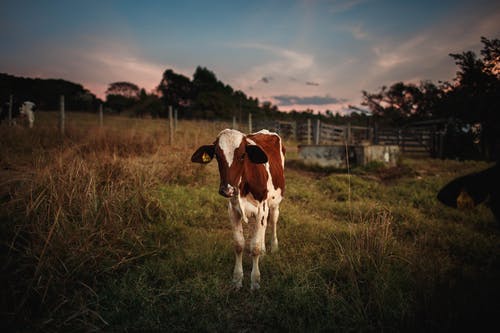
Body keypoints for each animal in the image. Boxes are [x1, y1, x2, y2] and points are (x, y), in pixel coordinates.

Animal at [191, 128, 286, 290]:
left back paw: (273, 247)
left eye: (242, 156)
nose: (227, 189)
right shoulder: (233, 210)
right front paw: (237, 279)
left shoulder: (261, 209)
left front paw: (255, 280)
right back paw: (264, 251)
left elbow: (254, 246)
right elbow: (239, 244)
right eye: (217, 156)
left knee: (272, 221)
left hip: (273, 203)